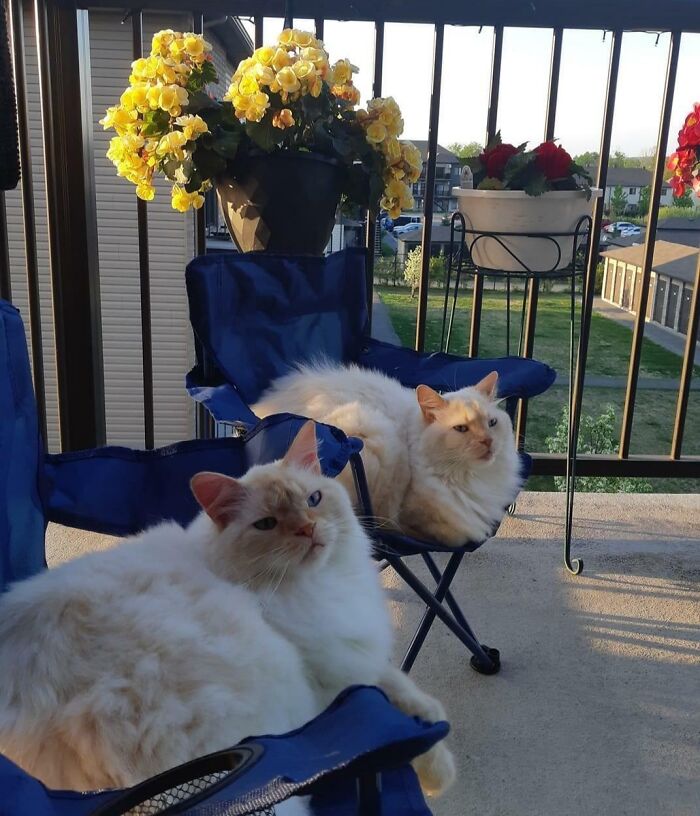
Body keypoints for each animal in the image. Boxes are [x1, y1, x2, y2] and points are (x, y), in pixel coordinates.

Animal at [0, 424, 454, 812]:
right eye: (267, 524)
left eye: (313, 501)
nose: (308, 530)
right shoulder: (332, 675)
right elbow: (388, 706)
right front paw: (438, 768)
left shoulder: (352, 651)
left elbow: (400, 685)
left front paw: (435, 720)